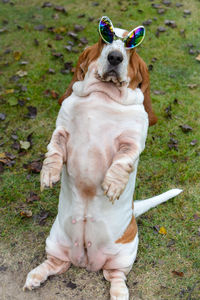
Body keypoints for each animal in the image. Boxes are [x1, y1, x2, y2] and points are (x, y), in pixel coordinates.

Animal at [23, 17, 183, 300]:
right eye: (103, 39)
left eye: (131, 46)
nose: (115, 57)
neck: (103, 95)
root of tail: (86, 259)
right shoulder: (62, 129)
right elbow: (54, 147)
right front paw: (48, 173)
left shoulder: (132, 141)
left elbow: (123, 160)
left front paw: (113, 185)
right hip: (54, 240)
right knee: (56, 264)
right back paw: (35, 276)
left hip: (125, 255)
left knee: (115, 276)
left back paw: (119, 293)